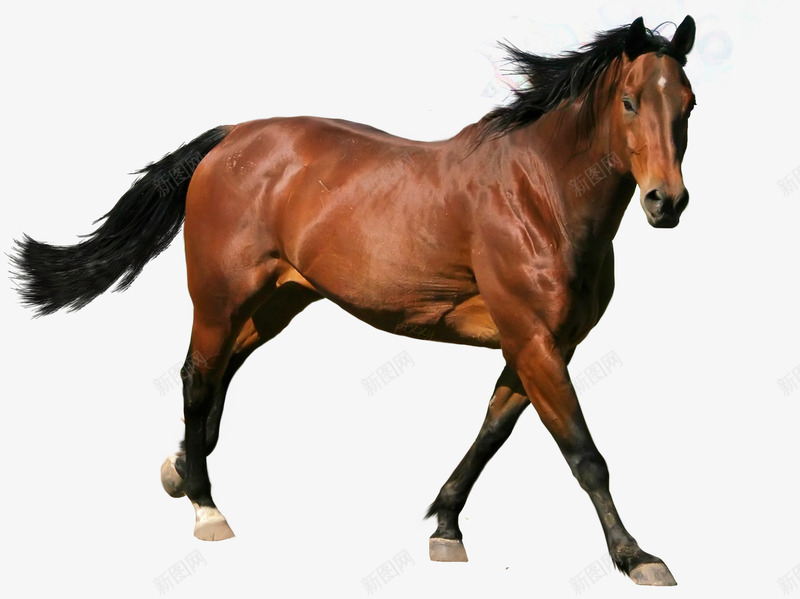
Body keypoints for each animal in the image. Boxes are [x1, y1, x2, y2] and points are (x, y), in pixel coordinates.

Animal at [11, 15, 696, 587]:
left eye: (688, 104)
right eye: (630, 101)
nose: (667, 202)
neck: (537, 194)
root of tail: (230, 139)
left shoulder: (542, 345)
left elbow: (492, 432)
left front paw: (446, 528)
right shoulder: (532, 339)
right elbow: (584, 454)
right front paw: (637, 557)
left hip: (275, 304)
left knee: (221, 375)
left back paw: (180, 469)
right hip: (220, 298)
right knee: (197, 378)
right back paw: (206, 508)